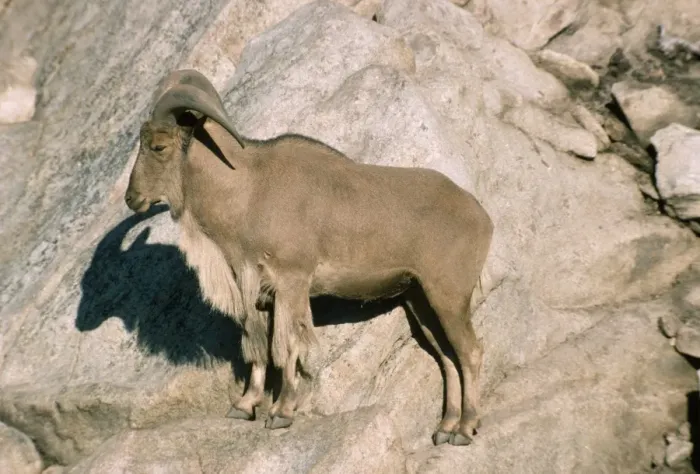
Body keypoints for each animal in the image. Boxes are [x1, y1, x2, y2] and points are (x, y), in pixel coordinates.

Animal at [124, 69, 494, 446]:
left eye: (159, 146)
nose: (131, 197)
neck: (250, 190)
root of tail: (481, 215)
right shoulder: (259, 291)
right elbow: (258, 344)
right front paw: (245, 404)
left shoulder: (292, 281)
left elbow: (287, 345)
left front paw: (282, 411)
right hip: (419, 299)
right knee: (447, 356)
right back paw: (444, 427)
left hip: (448, 295)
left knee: (470, 352)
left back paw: (465, 429)